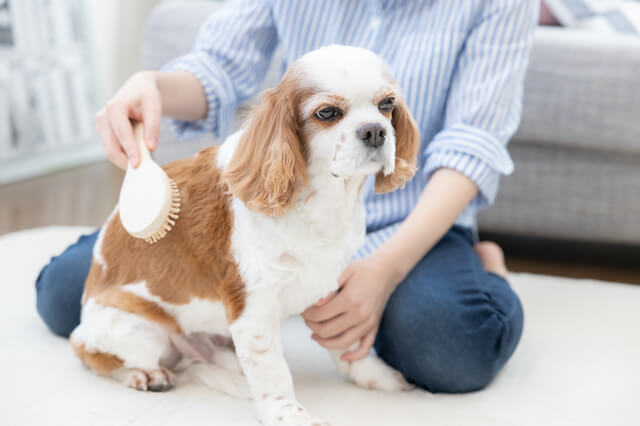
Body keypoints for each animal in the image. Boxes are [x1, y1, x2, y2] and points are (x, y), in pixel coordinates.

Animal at [71, 45, 420, 424]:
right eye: (327, 112)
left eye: (387, 105)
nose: (375, 131)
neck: (321, 199)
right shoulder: (252, 305)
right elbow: (272, 370)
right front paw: (287, 413)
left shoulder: (325, 283)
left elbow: (344, 342)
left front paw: (372, 375)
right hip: (134, 329)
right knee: (93, 356)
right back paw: (144, 375)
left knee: (197, 364)